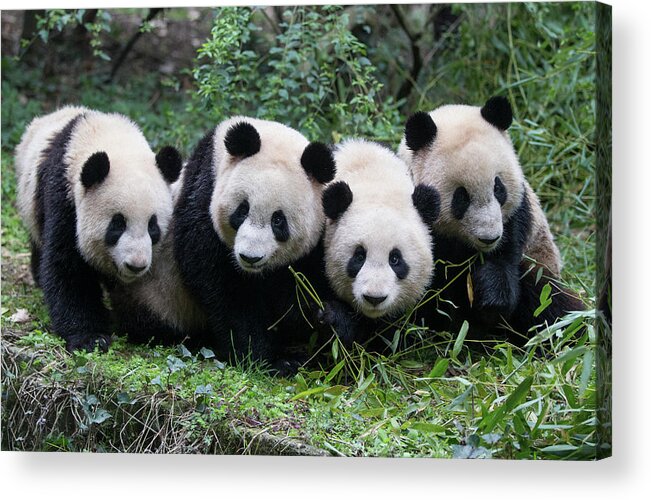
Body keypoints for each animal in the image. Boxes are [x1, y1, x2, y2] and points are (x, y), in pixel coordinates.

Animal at [14, 106, 183, 352]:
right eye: (117, 224)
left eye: (153, 227)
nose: (136, 265)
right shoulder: (64, 198)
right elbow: (67, 267)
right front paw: (90, 337)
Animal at [172, 117, 336, 374]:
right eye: (242, 210)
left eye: (278, 220)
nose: (250, 257)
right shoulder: (203, 195)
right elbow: (225, 288)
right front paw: (260, 356)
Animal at [398, 96, 584, 343]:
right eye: (461, 197)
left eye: (498, 188)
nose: (489, 238)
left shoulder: (517, 218)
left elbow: (505, 263)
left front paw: (490, 298)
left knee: (551, 302)